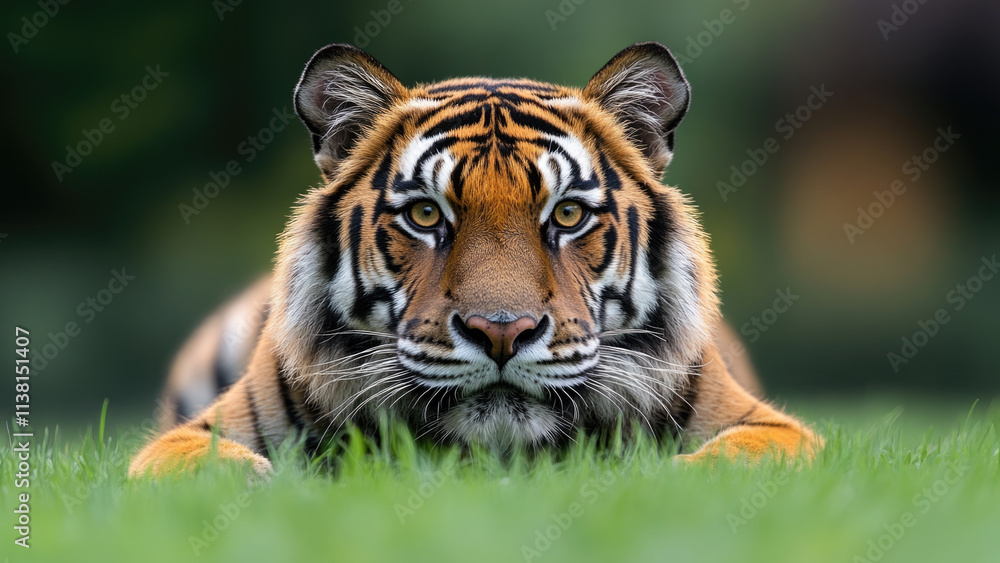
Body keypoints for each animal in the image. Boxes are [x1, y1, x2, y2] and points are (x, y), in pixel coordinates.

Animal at [130, 42, 820, 477]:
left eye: (567, 215)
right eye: (425, 215)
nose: (502, 332)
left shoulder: (777, 430)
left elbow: (732, 460)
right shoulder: (189, 438)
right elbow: (196, 466)